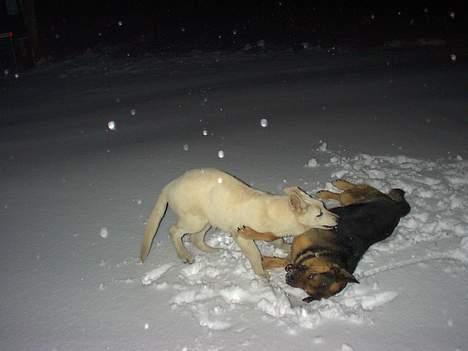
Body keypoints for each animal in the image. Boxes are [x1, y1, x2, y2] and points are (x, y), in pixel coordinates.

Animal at [139, 169, 336, 276]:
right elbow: (255, 254)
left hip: (209, 219)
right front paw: (262, 275)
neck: (279, 213)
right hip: (195, 219)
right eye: (319, 214)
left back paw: (213, 250)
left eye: (324, 206)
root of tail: (169, 185)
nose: (338, 218)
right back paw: (185, 255)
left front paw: (286, 246)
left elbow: (277, 240)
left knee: (196, 238)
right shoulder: (241, 235)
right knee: (174, 231)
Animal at [238, 180, 410, 304]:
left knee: (344, 195)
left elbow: (278, 250)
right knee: (352, 190)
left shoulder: (294, 256)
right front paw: (247, 233)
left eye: (307, 289)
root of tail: (397, 208)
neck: (321, 253)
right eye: (312, 275)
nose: (289, 279)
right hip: (355, 198)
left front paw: (264, 261)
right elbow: (271, 236)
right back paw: (336, 185)